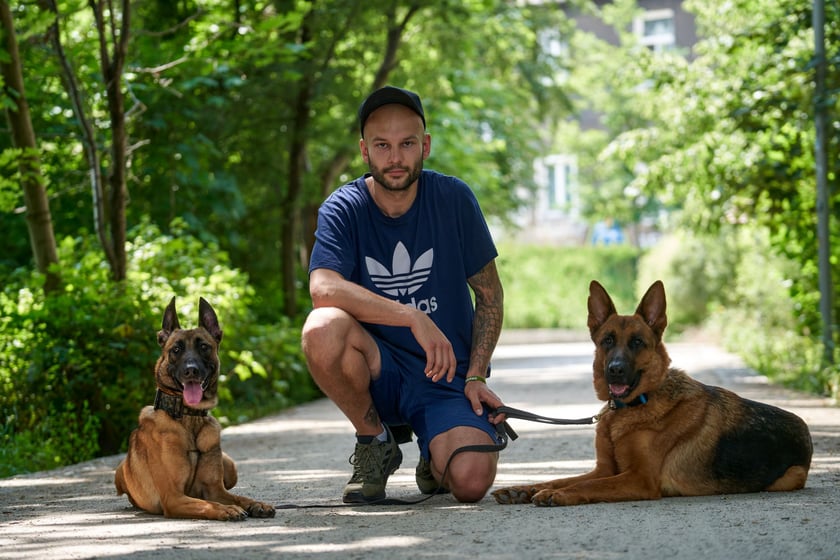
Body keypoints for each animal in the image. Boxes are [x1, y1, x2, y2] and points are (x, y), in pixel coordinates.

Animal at [115, 298, 276, 520]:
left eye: (204, 347)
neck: (189, 418)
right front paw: (227, 509)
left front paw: (256, 504)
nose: (191, 370)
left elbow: (239, 497)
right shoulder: (174, 498)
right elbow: (206, 504)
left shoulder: (215, 490)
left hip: (230, 466)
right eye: (176, 350)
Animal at [492, 282, 812, 506]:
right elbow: (562, 477)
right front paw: (523, 489)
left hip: (787, 478)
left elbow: (585, 485)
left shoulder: (638, 479)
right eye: (607, 341)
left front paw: (557, 494)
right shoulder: (604, 469)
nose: (616, 370)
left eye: (637, 342)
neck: (635, 405)